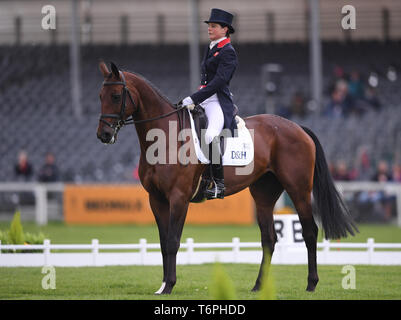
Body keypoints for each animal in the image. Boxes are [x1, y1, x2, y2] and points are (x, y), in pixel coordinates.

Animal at [96, 61, 356, 294]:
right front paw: (162, 286)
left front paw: (169, 285)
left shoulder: (178, 197)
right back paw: (258, 286)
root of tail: (298, 127)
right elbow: (162, 242)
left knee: (309, 232)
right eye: (100, 96)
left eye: (116, 96)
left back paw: (311, 284)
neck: (165, 138)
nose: (103, 135)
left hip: (299, 190)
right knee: (269, 238)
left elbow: (173, 241)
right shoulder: (156, 199)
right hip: (264, 194)